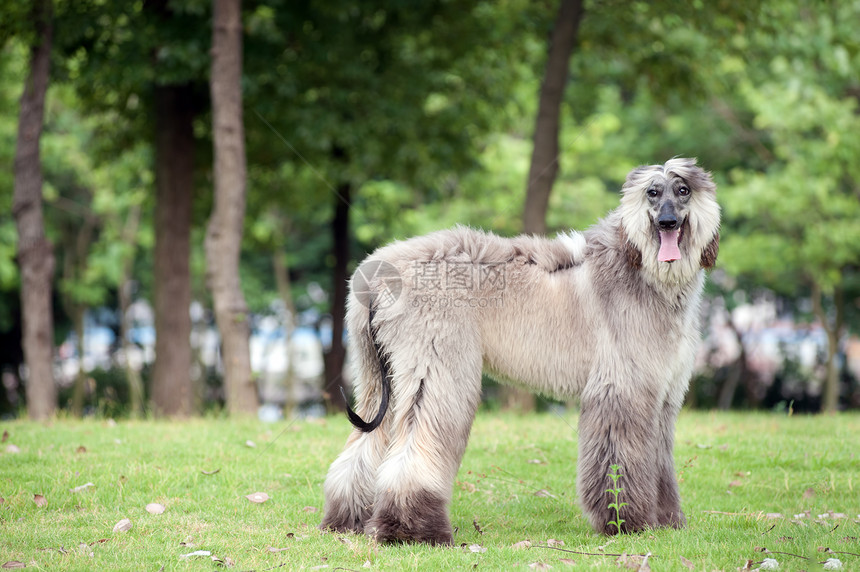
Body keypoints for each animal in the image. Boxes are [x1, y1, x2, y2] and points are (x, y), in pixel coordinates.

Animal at [320, 158, 720, 544]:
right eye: (652, 191)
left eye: (683, 189)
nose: (667, 222)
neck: (641, 268)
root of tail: (376, 276)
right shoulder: (621, 388)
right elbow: (619, 460)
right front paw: (626, 522)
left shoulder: (662, 394)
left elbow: (659, 458)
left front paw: (667, 521)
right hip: (434, 364)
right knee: (416, 443)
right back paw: (413, 529)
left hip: (377, 373)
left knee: (362, 448)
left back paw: (348, 521)